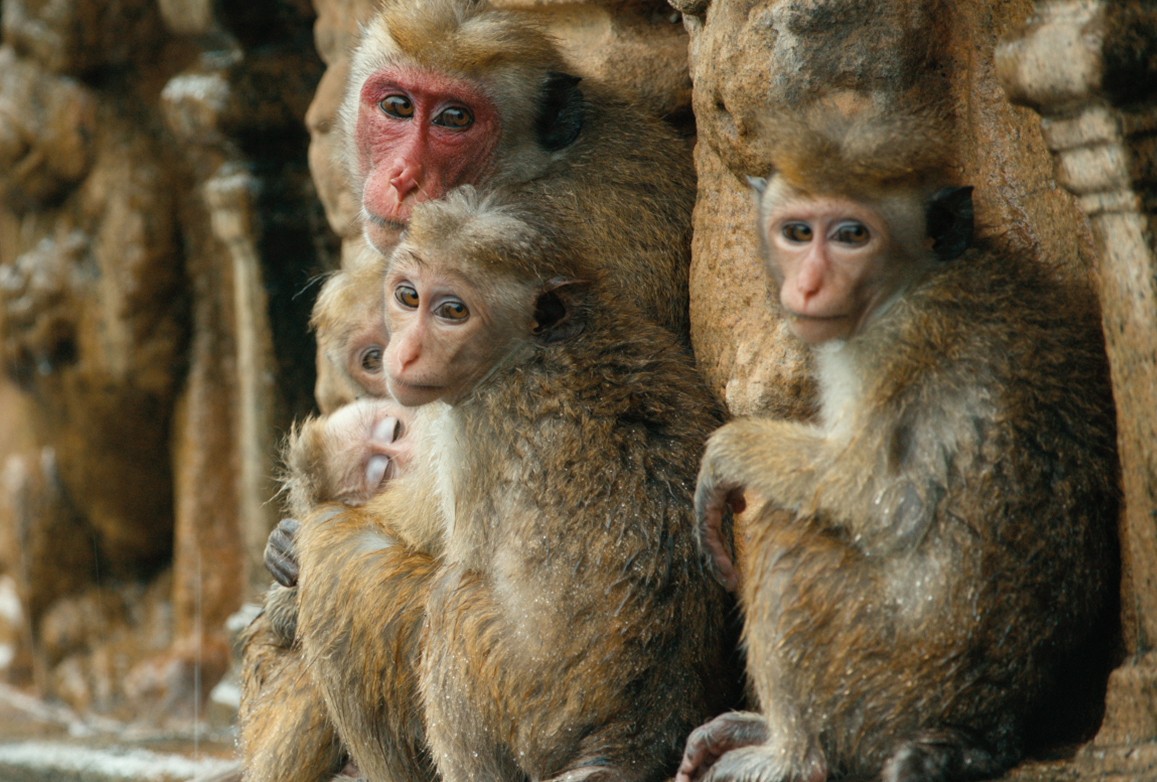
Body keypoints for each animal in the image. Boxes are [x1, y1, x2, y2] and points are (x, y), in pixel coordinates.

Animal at [287, 186, 741, 782]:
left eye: (453, 311)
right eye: (408, 297)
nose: (402, 354)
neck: (534, 348)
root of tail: (629, 738)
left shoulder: (471, 428)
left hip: (524, 705)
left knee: (410, 580)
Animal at [676, 101, 1120, 782]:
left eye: (851, 235)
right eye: (797, 232)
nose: (806, 286)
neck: (913, 282)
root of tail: (990, 726)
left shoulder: (889, 348)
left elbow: (873, 494)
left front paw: (724, 452)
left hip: (885, 682)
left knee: (786, 527)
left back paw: (790, 756)